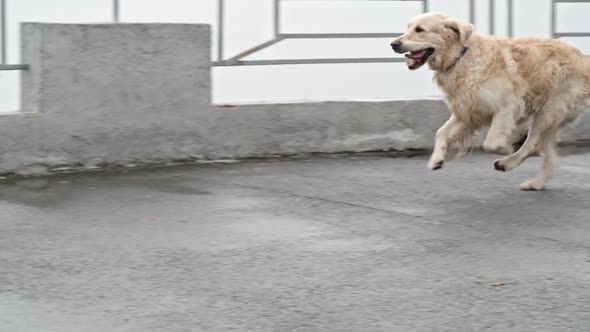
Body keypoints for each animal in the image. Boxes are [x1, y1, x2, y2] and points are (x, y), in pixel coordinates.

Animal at [394, 12, 590, 189]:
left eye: (420, 30)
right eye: (408, 28)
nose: (393, 44)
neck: (460, 57)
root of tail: (583, 58)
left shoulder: (507, 107)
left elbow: (490, 143)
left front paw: (506, 148)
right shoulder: (466, 113)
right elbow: (441, 132)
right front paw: (436, 160)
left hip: (549, 111)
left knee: (533, 144)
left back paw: (507, 161)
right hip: (550, 117)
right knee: (546, 153)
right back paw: (535, 183)